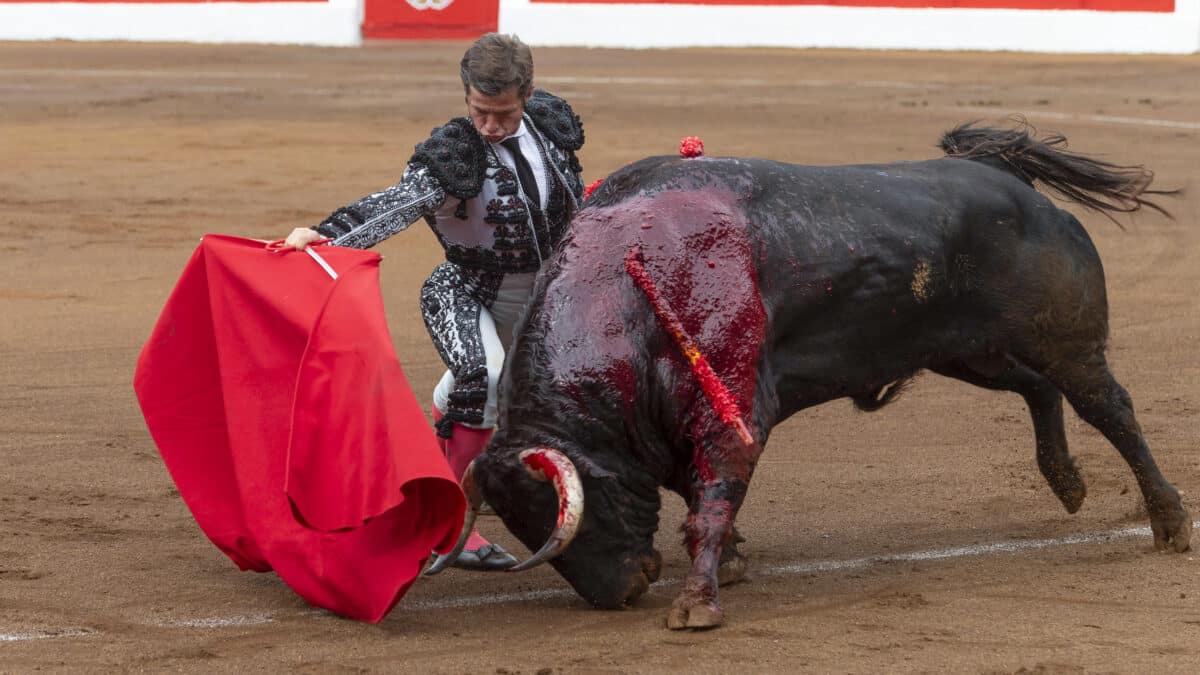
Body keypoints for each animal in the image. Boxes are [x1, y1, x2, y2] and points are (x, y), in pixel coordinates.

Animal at [427, 119, 1185, 624]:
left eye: (572, 512)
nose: (622, 592)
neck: (634, 277)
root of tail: (1009, 179)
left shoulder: (731, 408)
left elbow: (713, 494)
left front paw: (697, 603)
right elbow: (702, 497)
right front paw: (730, 564)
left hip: (1067, 341)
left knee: (1110, 409)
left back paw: (1170, 521)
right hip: (966, 350)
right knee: (1037, 388)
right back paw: (1068, 483)